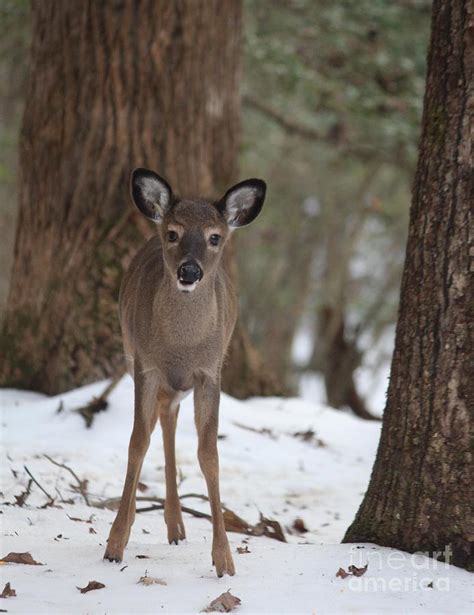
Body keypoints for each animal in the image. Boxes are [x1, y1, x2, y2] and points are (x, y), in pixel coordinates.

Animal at [104, 167, 266, 576]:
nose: (189, 271)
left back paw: (176, 526)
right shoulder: (146, 366)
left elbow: (209, 454)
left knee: (169, 418)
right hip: (131, 353)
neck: (181, 346)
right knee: (157, 424)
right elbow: (136, 443)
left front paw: (224, 559)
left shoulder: (210, 373)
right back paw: (154, 522)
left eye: (215, 237)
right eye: (174, 233)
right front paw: (115, 543)